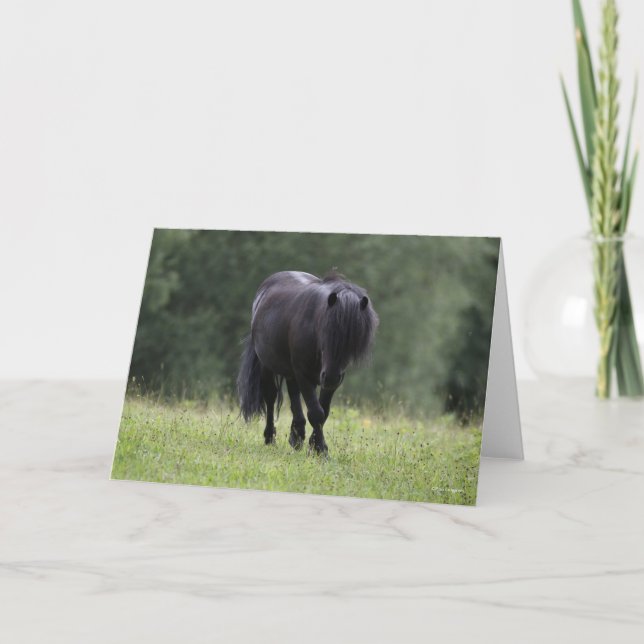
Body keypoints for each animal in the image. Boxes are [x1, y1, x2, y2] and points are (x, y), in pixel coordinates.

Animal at [236, 270, 379, 454]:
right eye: (325, 332)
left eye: (353, 339)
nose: (331, 377)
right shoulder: (303, 374)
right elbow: (316, 412)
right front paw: (321, 449)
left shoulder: (331, 380)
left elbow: (324, 411)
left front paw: (314, 444)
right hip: (267, 366)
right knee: (271, 397)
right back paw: (270, 438)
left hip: (293, 372)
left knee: (294, 397)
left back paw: (296, 436)